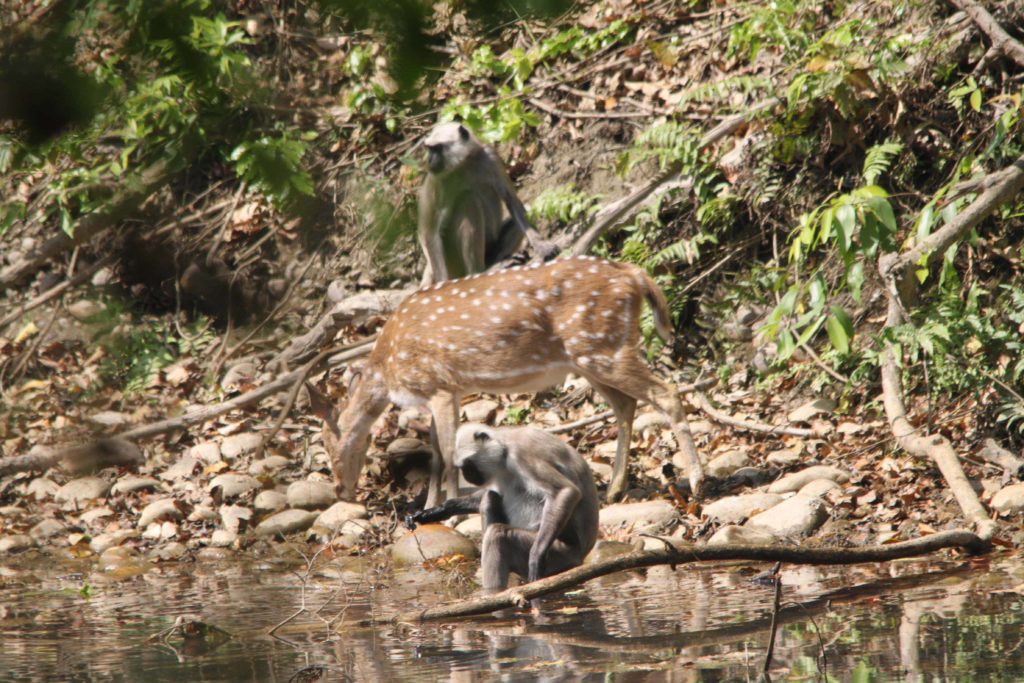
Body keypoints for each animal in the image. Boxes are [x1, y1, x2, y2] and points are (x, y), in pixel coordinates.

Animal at [313, 253, 704, 505]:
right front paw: (428, 509)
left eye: (334, 441)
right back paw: (614, 489)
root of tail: (635, 275)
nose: (340, 491)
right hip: (591, 357)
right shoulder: (448, 391)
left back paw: (698, 482)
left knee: (667, 393)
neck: (389, 366)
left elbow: (448, 454)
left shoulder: (439, 385)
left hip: (602, 348)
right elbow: (437, 455)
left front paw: (448, 509)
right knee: (626, 405)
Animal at [405, 423, 598, 589]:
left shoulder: (521, 454)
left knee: (499, 533)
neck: (505, 445)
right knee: (490, 496)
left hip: (561, 553)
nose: (467, 476)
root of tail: (582, 554)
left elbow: (565, 492)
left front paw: (536, 556)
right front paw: (435, 511)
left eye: (468, 465)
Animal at [417, 121, 561, 284]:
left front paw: (541, 245)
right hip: (453, 262)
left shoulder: (490, 156)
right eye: (429, 149)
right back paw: (479, 273)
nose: (429, 160)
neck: (464, 163)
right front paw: (443, 283)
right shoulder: (437, 180)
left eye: (437, 148)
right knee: (469, 200)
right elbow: (430, 232)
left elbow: (511, 200)